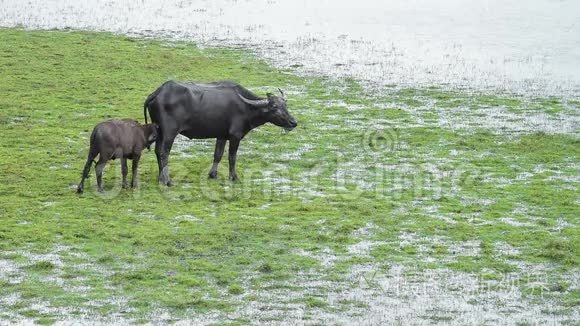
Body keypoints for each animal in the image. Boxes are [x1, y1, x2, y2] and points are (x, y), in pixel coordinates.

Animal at [144, 80, 296, 185]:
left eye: (285, 105)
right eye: (275, 107)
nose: (293, 122)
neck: (246, 107)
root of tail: (158, 92)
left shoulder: (221, 135)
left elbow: (218, 154)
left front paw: (213, 174)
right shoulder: (235, 136)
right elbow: (232, 157)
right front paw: (233, 177)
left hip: (160, 132)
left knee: (157, 151)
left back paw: (160, 177)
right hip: (169, 132)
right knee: (164, 153)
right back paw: (167, 180)